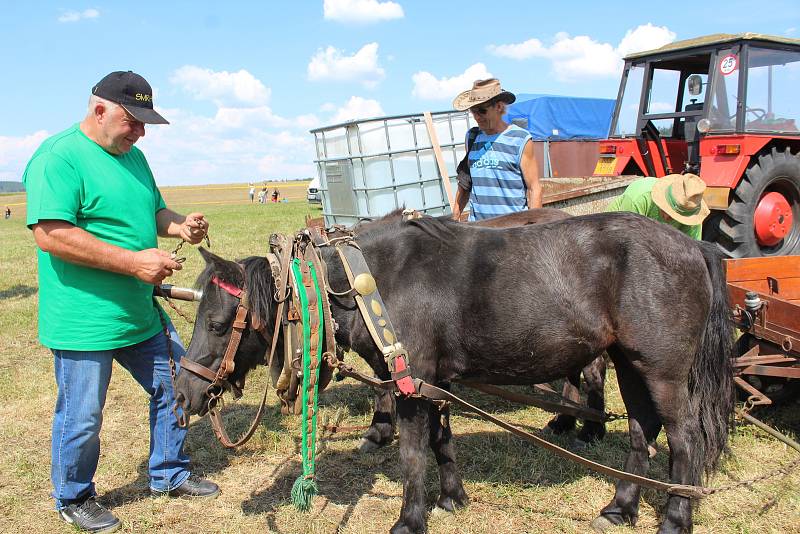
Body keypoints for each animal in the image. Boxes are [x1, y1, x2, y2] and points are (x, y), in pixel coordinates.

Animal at [177, 214, 736, 534]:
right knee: (642, 430)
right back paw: (620, 507)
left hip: (663, 371)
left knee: (683, 440)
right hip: (629, 363)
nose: (182, 395)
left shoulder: (411, 383)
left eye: (217, 323)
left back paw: (676, 519)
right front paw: (451, 498)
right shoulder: (435, 380)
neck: (370, 281)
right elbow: (441, 439)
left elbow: (411, 454)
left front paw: (409, 520)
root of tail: (695, 247)